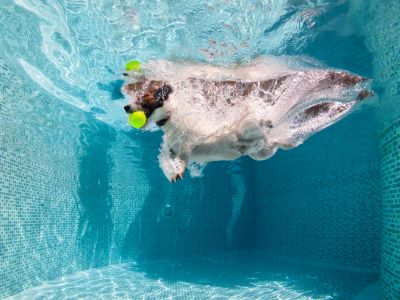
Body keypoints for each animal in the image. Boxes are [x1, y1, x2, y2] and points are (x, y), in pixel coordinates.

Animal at [122, 58, 372, 180]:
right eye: (136, 96)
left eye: (144, 96)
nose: (125, 106)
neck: (172, 118)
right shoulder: (177, 145)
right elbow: (174, 155)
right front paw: (175, 170)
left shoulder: (208, 121)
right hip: (262, 152)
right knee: (277, 145)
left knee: (257, 129)